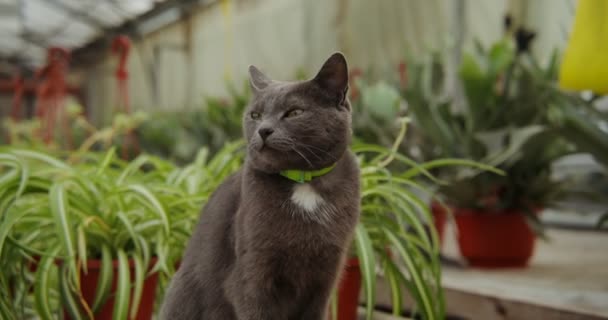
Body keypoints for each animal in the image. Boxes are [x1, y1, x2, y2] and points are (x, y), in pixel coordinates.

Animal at [162, 53, 360, 320]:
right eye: (255, 115)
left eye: (294, 112)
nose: (264, 130)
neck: (304, 181)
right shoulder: (252, 273)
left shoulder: (324, 277)